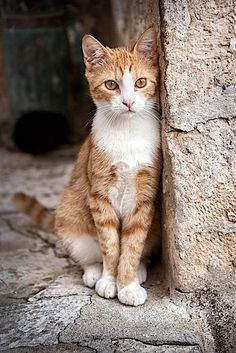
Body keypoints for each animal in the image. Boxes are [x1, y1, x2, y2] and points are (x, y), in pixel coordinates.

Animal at [13, 26, 162, 306]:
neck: (126, 132)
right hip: (70, 215)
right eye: (111, 85)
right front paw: (110, 281)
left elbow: (132, 245)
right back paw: (94, 273)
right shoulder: (99, 195)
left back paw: (138, 270)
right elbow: (110, 245)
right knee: (89, 255)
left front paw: (127, 284)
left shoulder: (145, 196)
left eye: (140, 82)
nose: (128, 103)